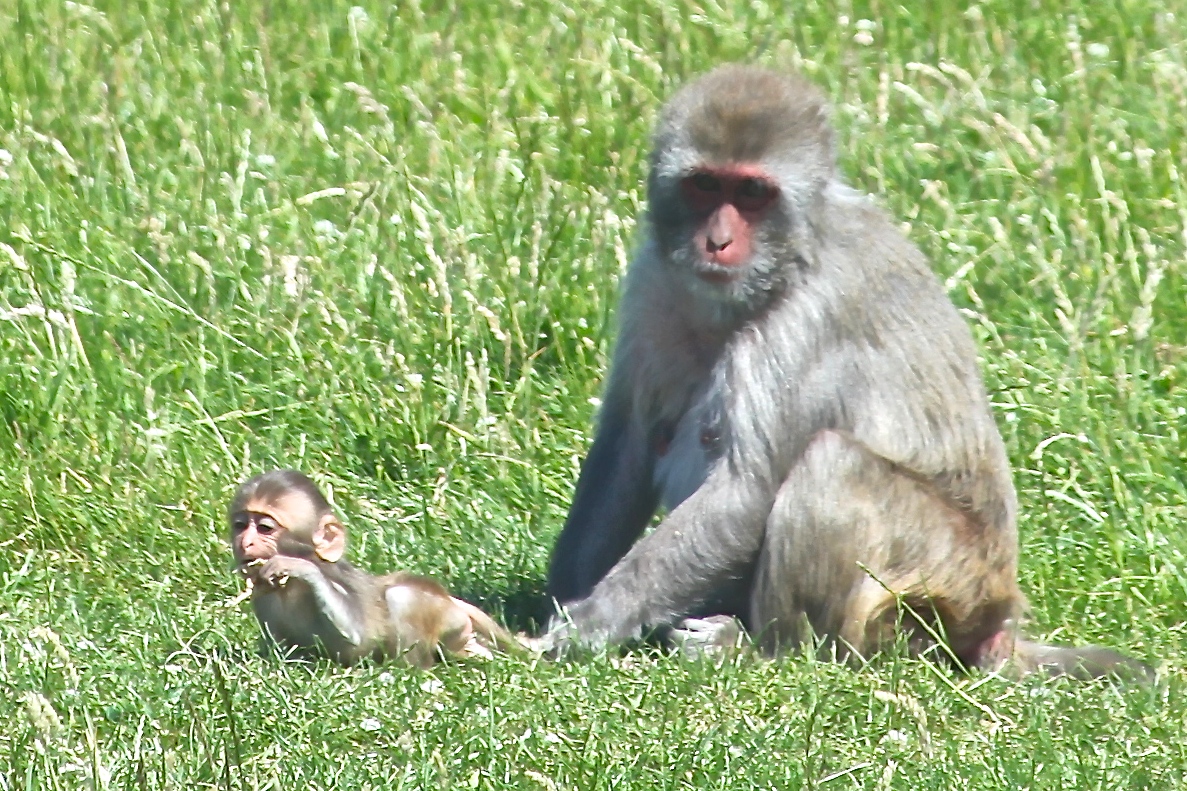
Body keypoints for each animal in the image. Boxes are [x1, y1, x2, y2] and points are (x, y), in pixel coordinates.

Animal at [228, 469, 522, 668]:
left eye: (265, 528)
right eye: (241, 526)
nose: (245, 541)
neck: (287, 590)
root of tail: (451, 600)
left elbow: (357, 635)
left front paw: (301, 567)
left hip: (447, 619)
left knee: (400, 596)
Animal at [543, 65, 1153, 682]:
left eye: (753, 194)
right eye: (705, 186)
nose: (717, 241)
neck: (785, 263)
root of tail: (997, 621)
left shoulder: (808, 319)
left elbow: (745, 493)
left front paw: (589, 623)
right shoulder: (653, 279)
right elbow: (627, 444)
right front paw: (559, 599)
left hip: (943, 586)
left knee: (832, 465)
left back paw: (772, 646)